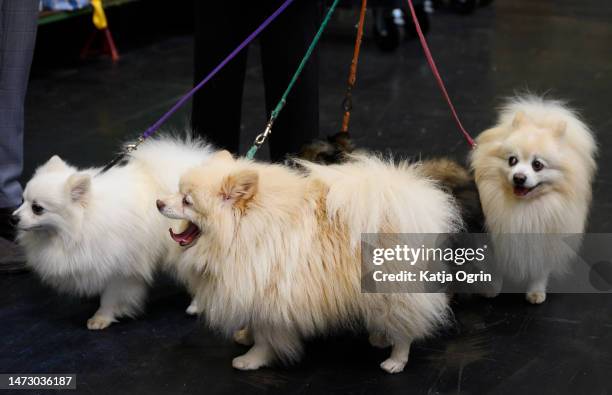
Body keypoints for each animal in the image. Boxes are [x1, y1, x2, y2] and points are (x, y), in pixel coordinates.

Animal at [13, 138, 213, 330]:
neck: (83, 223)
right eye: (22, 200)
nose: (13, 218)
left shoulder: (121, 269)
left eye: (37, 208)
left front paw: (101, 317)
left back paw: (197, 305)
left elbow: (111, 297)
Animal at [155, 152, 462, 374]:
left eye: (187, 201)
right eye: (177, 191)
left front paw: (251, 359)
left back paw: (396, 360)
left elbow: (266, 338)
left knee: (406, 327)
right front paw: (245, 336)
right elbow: (254, 325)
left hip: (392, 290)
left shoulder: (271, 296)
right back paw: (380, 337)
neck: (244, 231)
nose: (159, 202)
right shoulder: (255, 289)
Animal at [468, 96, 596, 306]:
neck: (525, 208)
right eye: (512, 160)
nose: (519, 177)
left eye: (537, 165)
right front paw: (492, 289)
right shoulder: (493, 238)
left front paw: (536, 292)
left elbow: (539, 270)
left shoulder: (545, 240)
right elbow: (495, 268)